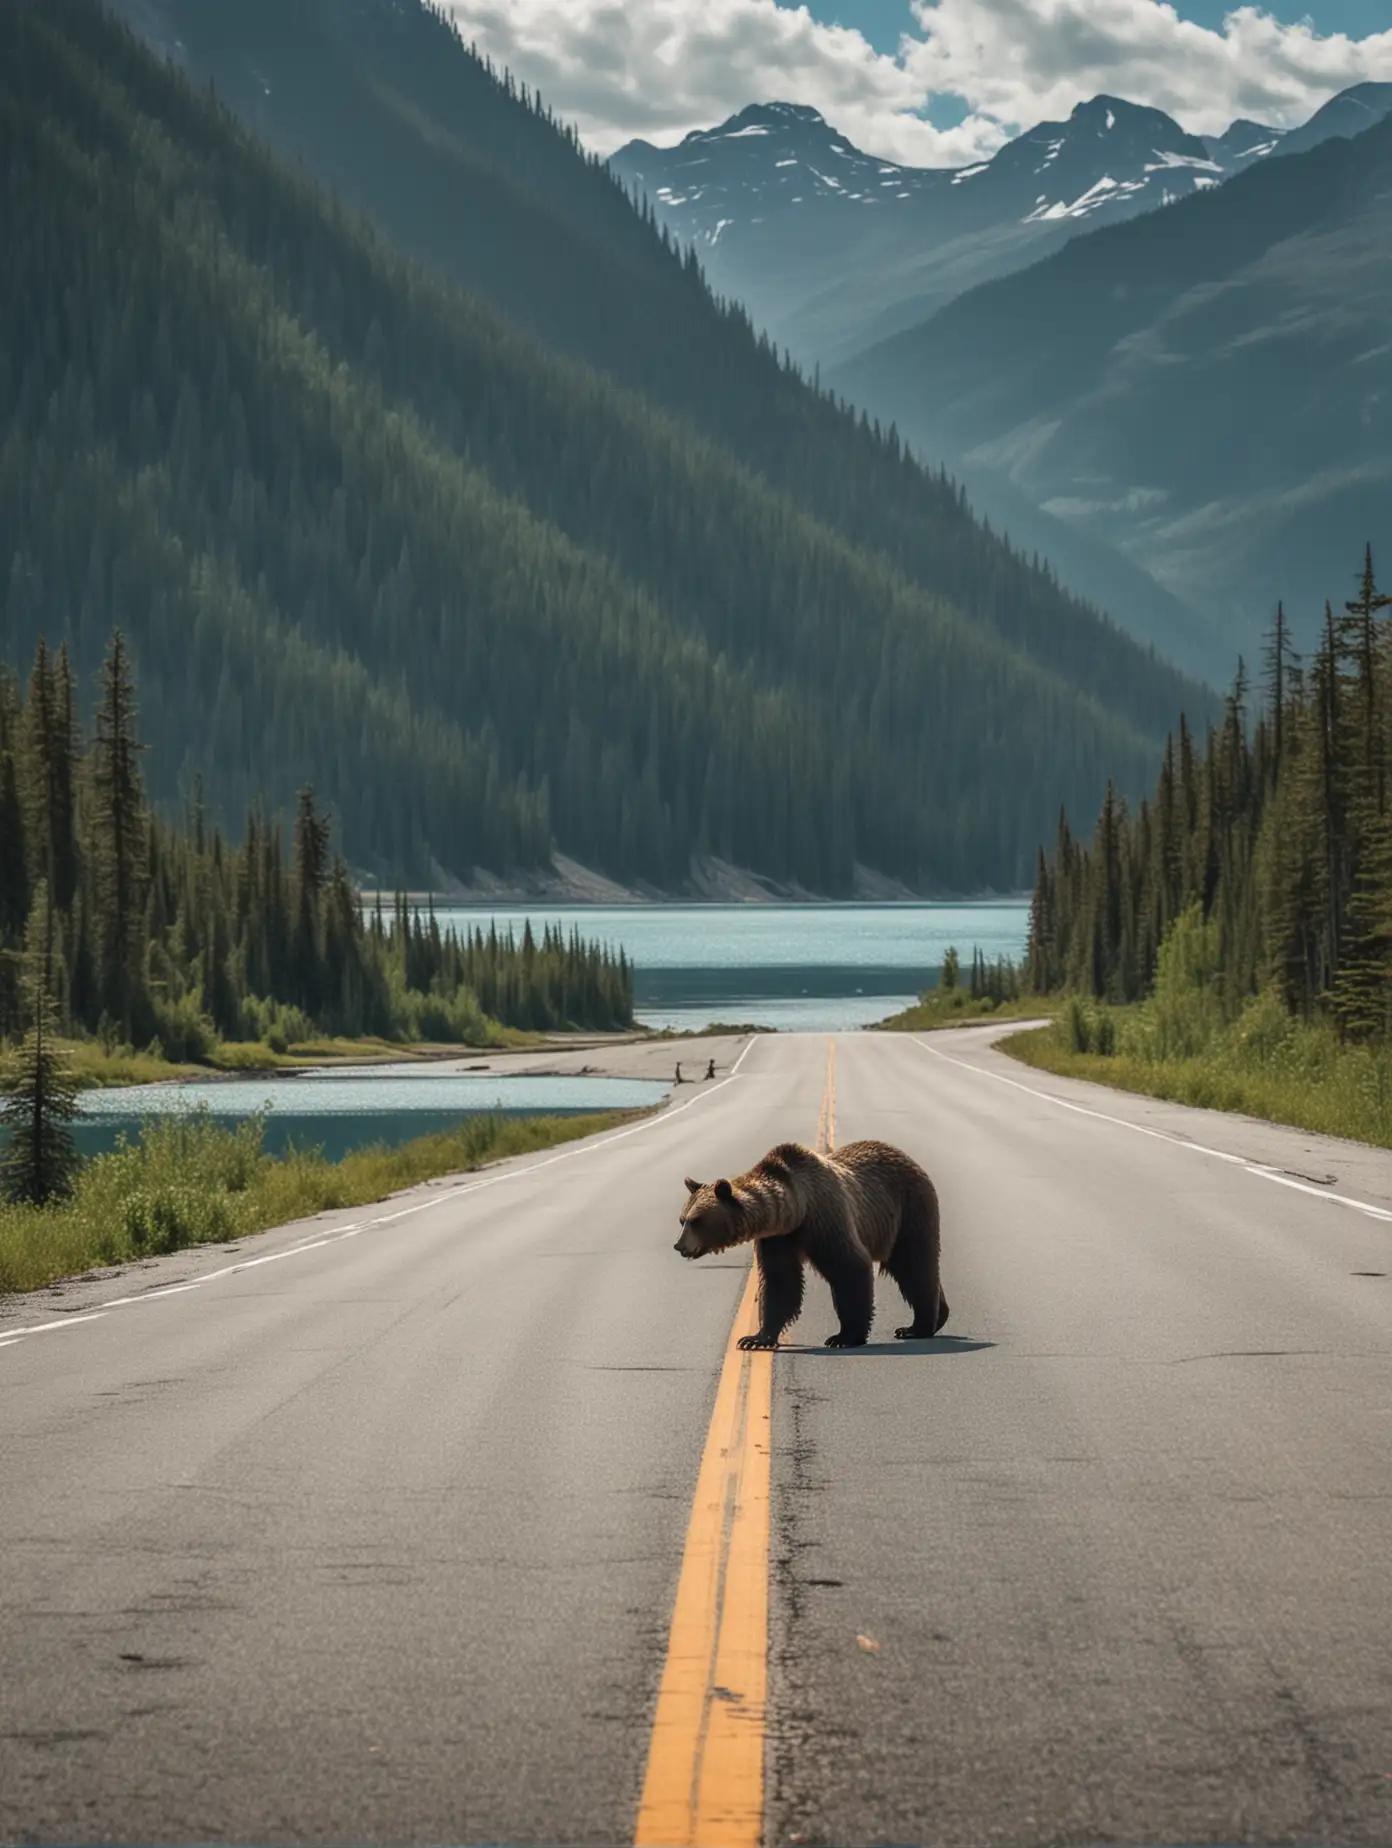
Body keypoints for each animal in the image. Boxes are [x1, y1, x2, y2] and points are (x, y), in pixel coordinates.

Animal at [672, 1130, 946, 1352]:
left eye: (696, 1221)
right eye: (682, 1219)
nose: (679, 1246)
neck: (796, 1210)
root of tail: (908, 1158)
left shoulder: (824, 1219)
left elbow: (849, 1267)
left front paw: (843, 1337)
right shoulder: (777, 1238)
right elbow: (780, 1281)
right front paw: (756, 1338)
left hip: (909, 1211)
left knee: (914, 1264)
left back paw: (917, 1327)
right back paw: (939, 1317)